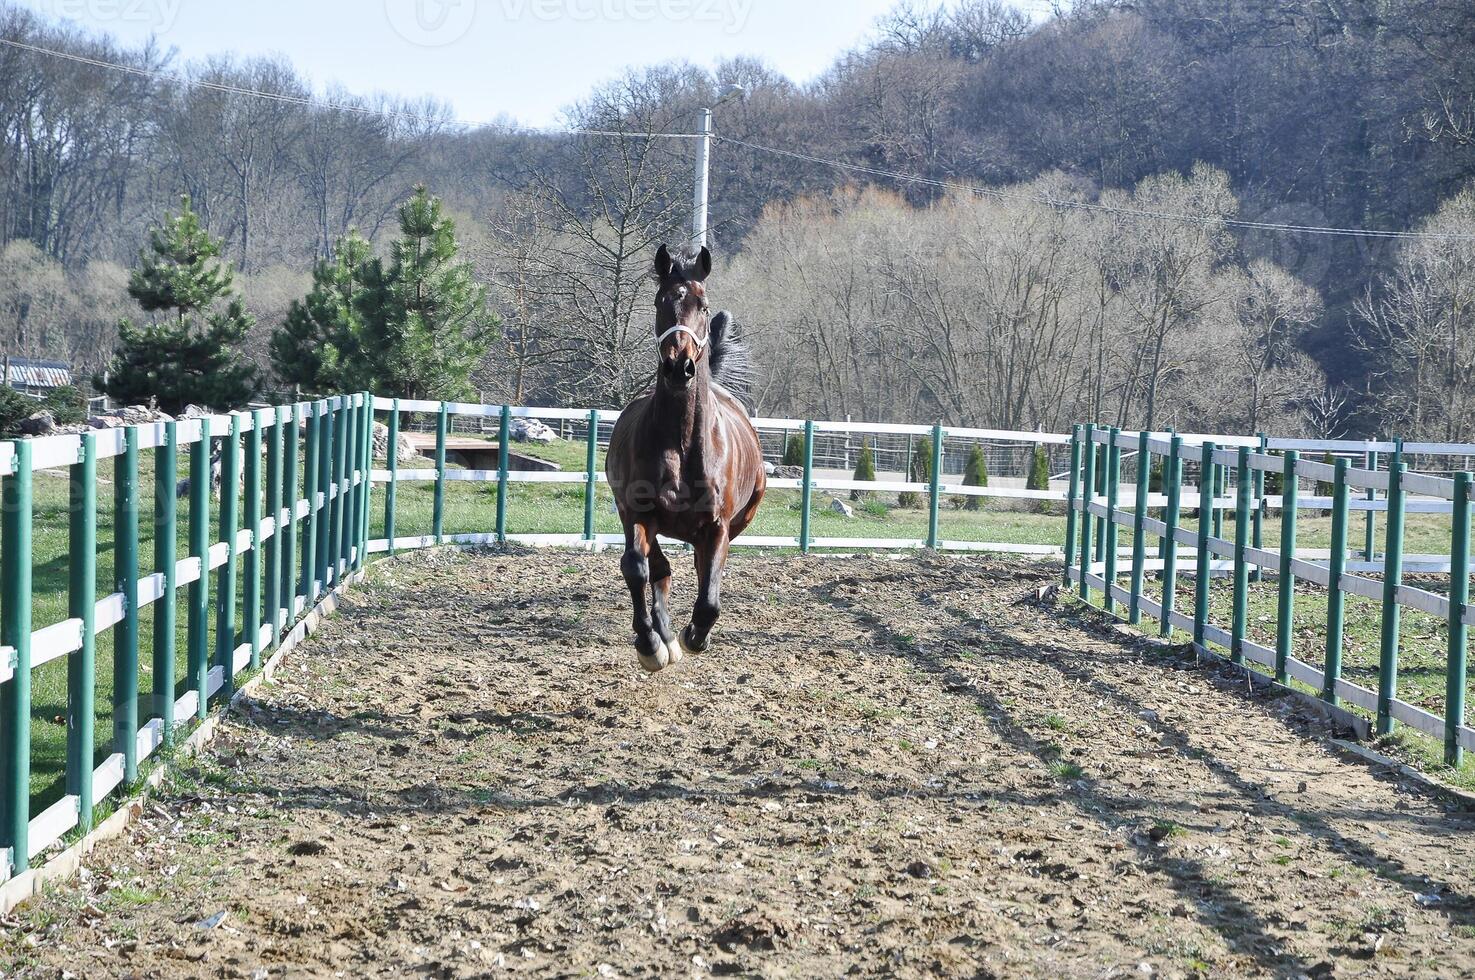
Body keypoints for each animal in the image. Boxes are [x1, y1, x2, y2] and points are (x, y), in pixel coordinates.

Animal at [607, 245, 772, 673]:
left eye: (704, 304)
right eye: (660, 301)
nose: (678, 367)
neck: (681, 444)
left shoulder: (717, 527)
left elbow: (710, 595)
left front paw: (696, 635)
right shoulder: (638, 513)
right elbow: (637, 568)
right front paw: (651, 644)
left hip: (736, 523)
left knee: (701, 571)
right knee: (659, 569)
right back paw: (664, 637)